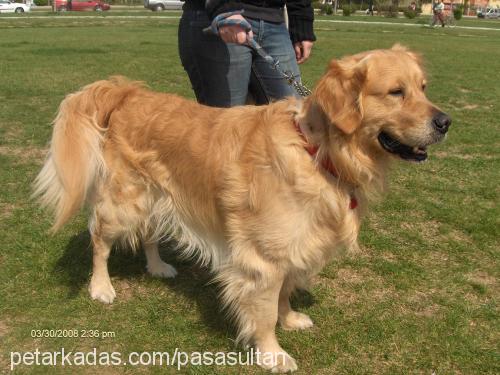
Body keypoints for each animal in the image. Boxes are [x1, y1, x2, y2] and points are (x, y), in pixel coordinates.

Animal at [33, 44, 452, 374]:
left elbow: (284, 294)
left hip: (157, 198)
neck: (317, 151)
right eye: (396, 92)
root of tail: (127, 92)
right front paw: (272, 354)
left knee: (149, 235)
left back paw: (157, 266)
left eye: (423, 88)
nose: (446, 122)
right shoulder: (262, 257)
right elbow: (264, 311)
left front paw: (290, 318)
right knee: (99, 241)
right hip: (124, 202)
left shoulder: (291, 247)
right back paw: (101, 287)